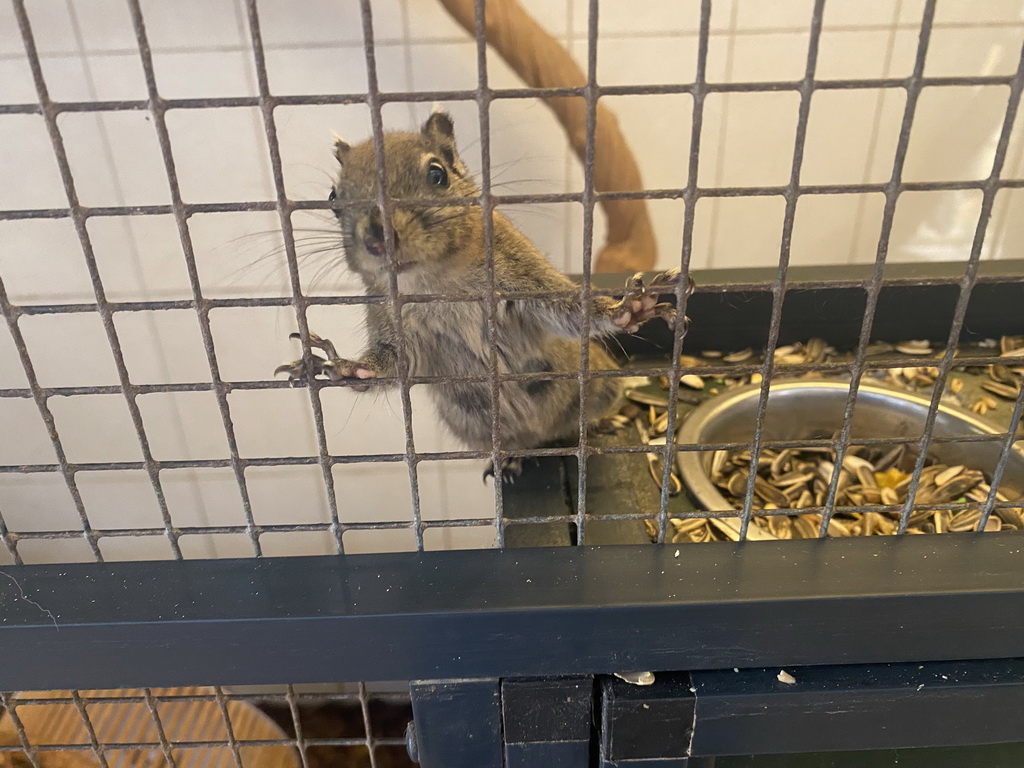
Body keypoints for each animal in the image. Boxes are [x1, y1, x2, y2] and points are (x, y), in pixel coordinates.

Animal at [276, 108, 692, 481]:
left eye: (437, 174)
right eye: (333, 197)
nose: (377, 237)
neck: (436, 281)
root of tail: (542, 434)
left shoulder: (522, 274)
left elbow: (569, 311)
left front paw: (631, 308)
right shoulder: (388, 313)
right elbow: (395, 363)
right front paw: (345, 366)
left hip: (598, 383)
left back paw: (594, 426)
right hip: (468, 418)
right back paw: (510, 457)